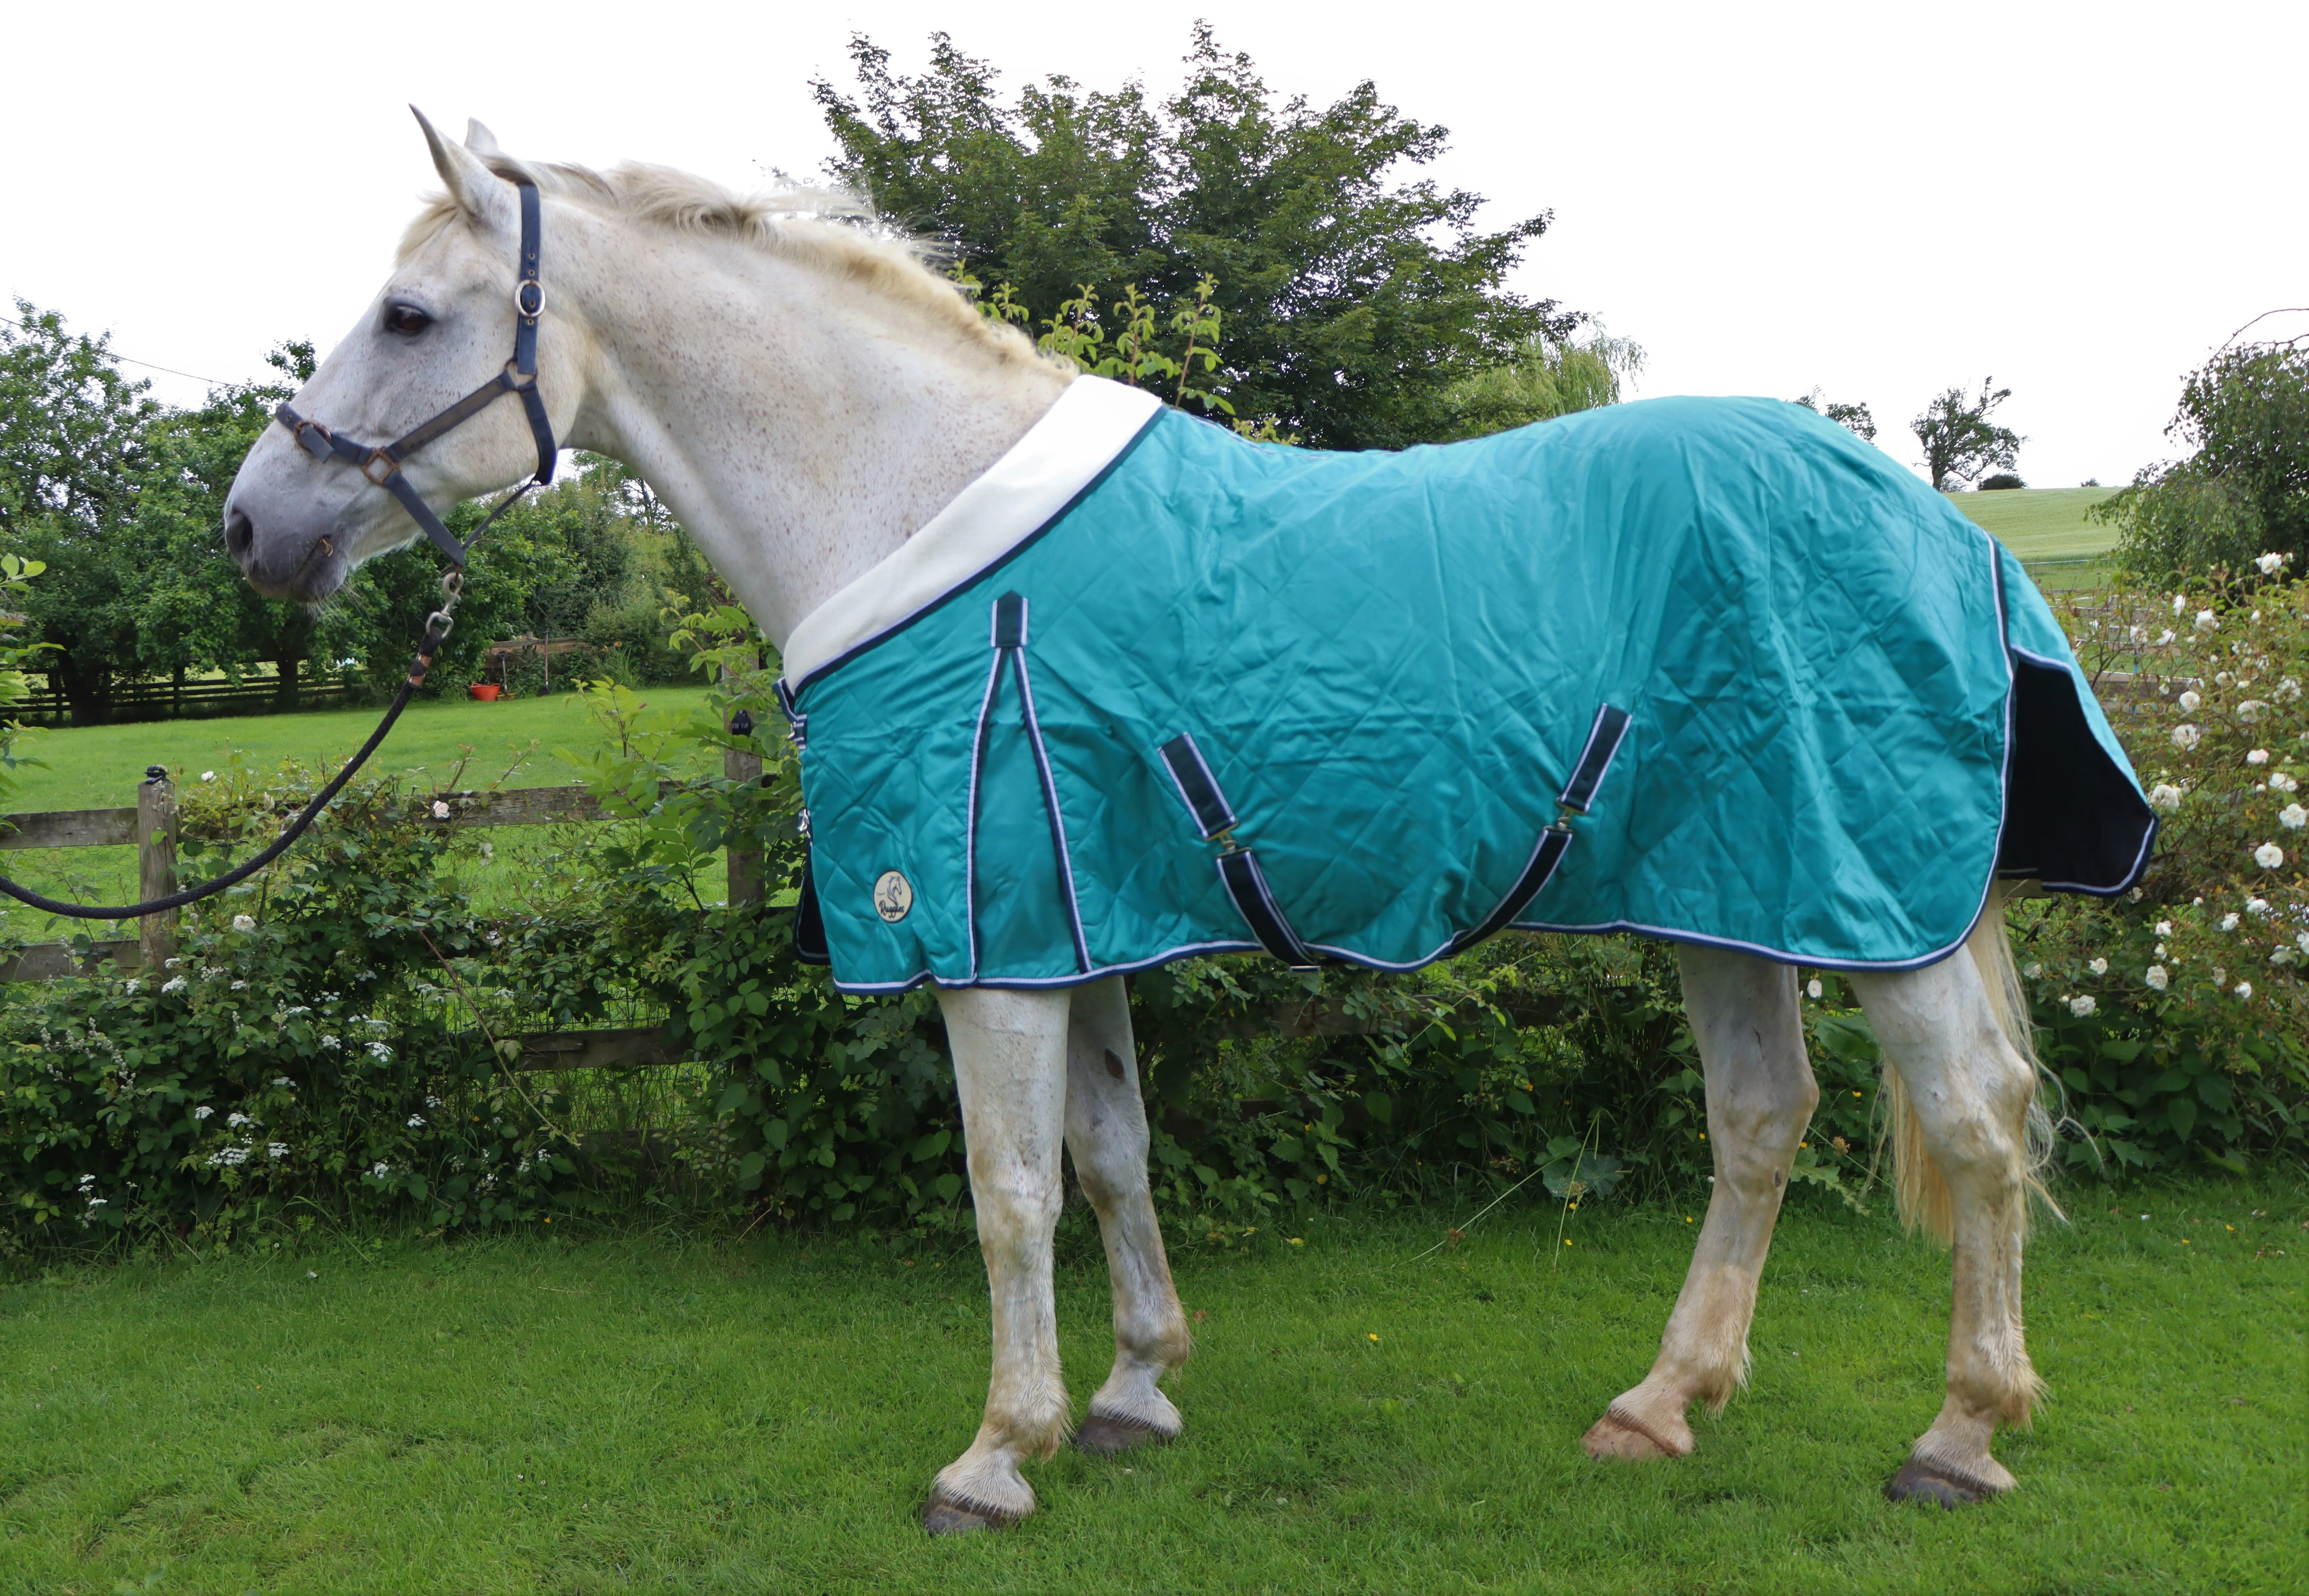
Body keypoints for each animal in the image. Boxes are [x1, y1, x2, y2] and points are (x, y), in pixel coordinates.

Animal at [224, 112, 2153, 1532]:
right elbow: (1110, 1157)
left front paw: (997, 1451)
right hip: (1723, 896)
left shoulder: (986, 936)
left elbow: (1007, 1190)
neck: (911, 502)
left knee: (1975, 1119)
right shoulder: (1076, 921)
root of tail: (1934, 521)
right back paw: (1662, 1403)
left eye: (409, 319)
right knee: (1759, 1119)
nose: (254, 526)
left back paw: (1961, 1433)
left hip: (1866, 897)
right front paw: (1135, 1388)